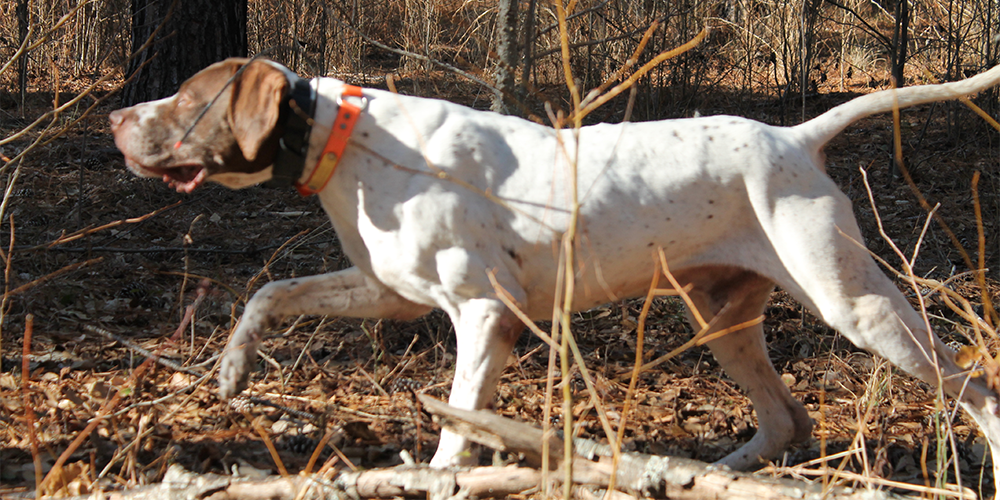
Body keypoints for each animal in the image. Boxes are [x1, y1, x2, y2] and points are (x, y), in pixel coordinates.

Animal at [111, 56, 1000, 482]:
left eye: (185, 97)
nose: (117, 117)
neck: (343, 136)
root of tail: (795, 137)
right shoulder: (389, 295)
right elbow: (269, 292)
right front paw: (231, 370)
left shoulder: (483, 315)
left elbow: (457, 429)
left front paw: (438, 477)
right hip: (722, 318)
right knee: (787, 419)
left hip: (852, 303)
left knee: (972, 384)